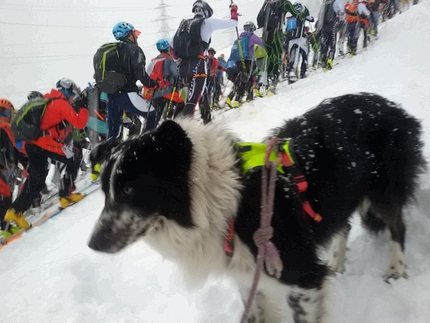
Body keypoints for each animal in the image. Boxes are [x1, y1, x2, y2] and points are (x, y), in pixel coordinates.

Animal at [89, 93, 424, 323]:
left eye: (129, 190)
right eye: (106, 193)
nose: (93, 244)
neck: (225, 204)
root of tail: (391, 105)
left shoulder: (302, 277)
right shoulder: (247, 276)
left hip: (383, 190)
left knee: (398, 225)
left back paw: (395, 268)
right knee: (345, 224)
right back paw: (337, 262)